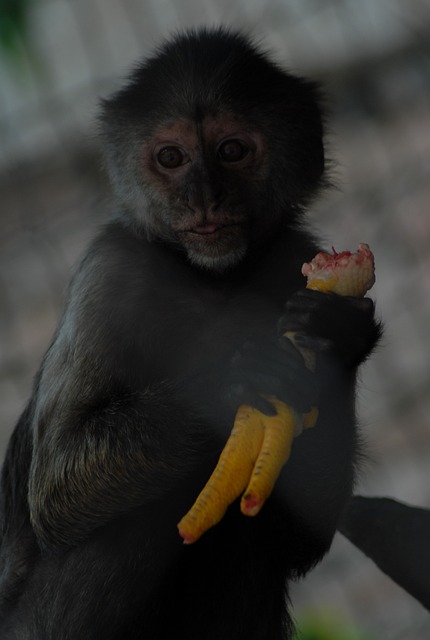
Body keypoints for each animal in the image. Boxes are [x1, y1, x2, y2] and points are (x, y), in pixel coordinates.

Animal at [1, 26, 382, 640]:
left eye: (231, 151)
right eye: (171, 158)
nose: (204, 197)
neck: (209, 279)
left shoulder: (293, 258)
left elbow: (299, 538)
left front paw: (336, 337)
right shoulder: (111, 270)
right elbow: (55, 489)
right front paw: (230, 380)